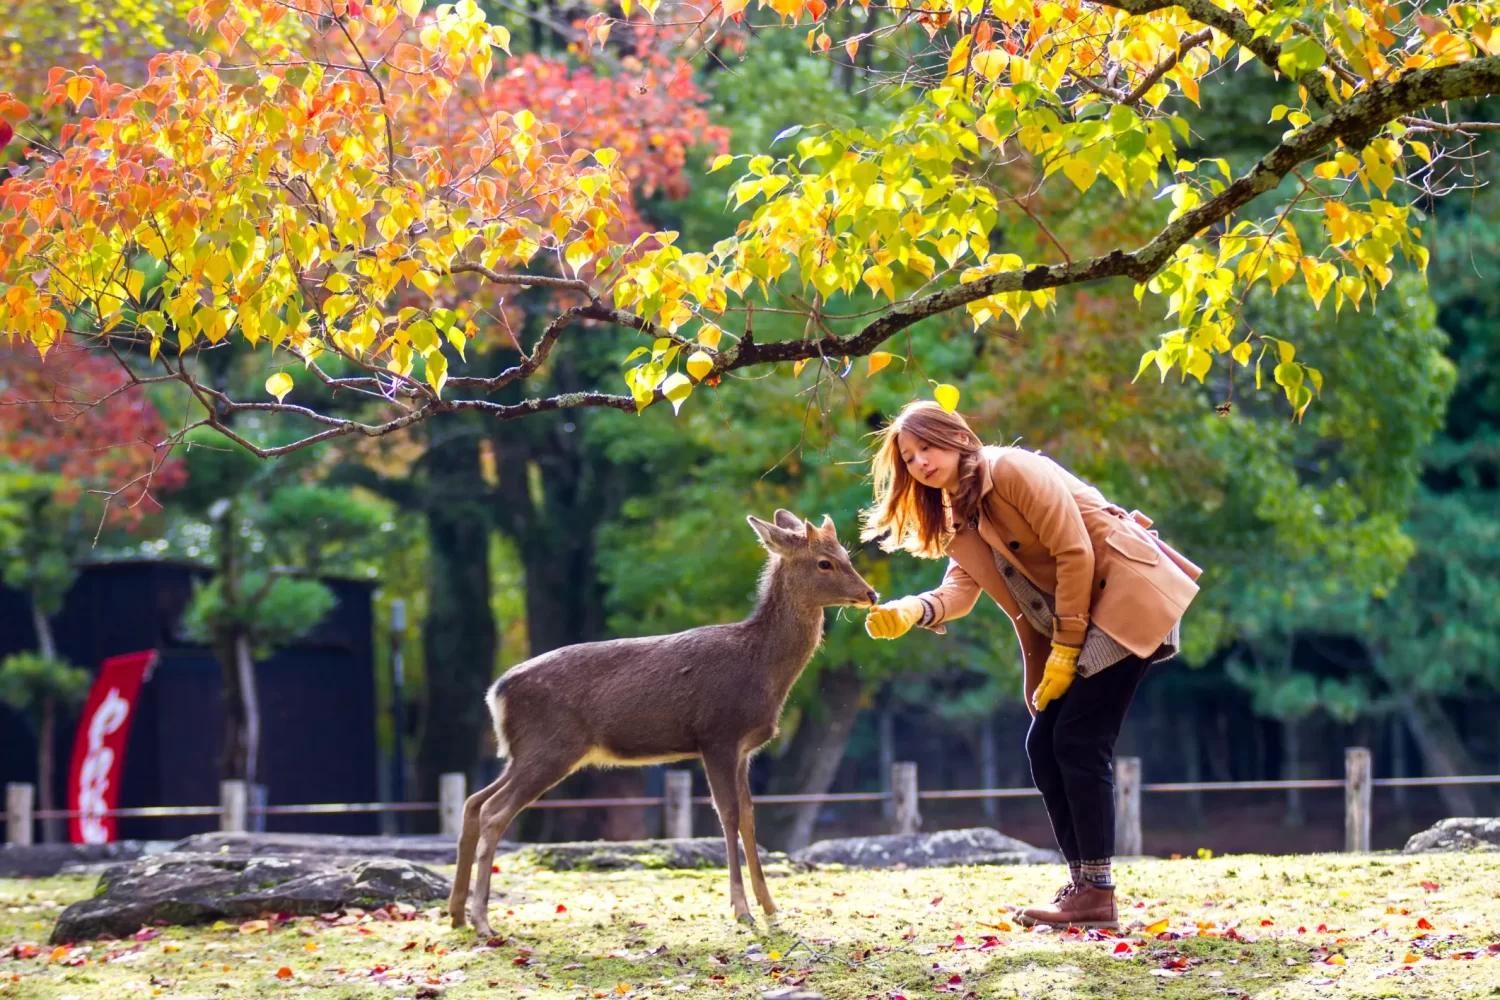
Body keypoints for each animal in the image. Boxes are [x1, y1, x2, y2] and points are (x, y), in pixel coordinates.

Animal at [450, 509, 882, 941]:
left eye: (846, 554)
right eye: (824, 563)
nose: (871, 594)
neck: (761, 669)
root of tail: (496, 693)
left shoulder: (744, 749)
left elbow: (747, 815)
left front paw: (771, 908)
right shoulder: (717, 734)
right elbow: (726, 814)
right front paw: (741, 909)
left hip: (525, 752)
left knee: (474, 802)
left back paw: (457, 914)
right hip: (551, 746)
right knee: (494, 812)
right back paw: (482, 920)